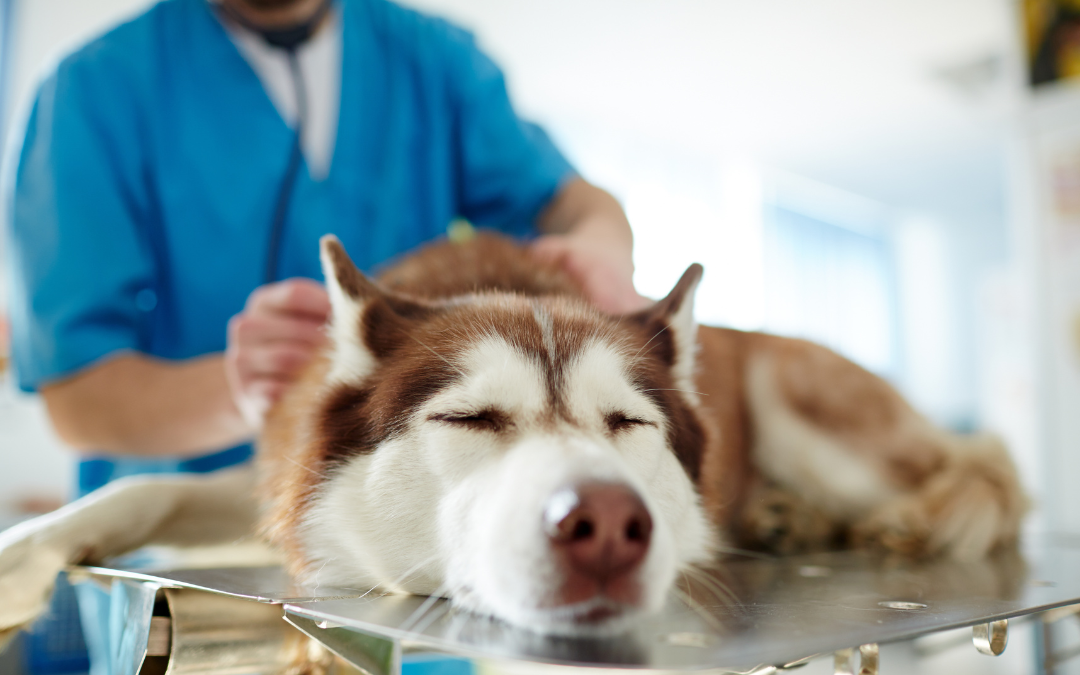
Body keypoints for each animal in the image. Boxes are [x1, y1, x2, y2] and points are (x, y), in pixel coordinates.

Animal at [0, 233, 1023, 635]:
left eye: (627, 424)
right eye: (470, 418)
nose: (607, 528)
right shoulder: (280, 477)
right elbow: (148, 485)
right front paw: (26, 547)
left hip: (802, 405)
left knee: (984, 475)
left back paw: (891, 517)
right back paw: (788, 519)